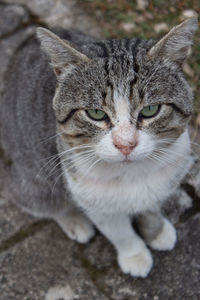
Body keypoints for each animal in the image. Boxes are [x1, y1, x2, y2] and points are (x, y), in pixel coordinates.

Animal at [0, 17, 197, 278]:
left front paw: (156, 231)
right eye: (95, 113)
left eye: (150, 110)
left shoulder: (166, 178)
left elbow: (151, 208)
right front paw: (135, 255)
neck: (132, 174)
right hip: (32, 179)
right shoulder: (93, 200)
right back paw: (74, 222)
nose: (126, 144)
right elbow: (120, 233)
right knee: (45, 203)